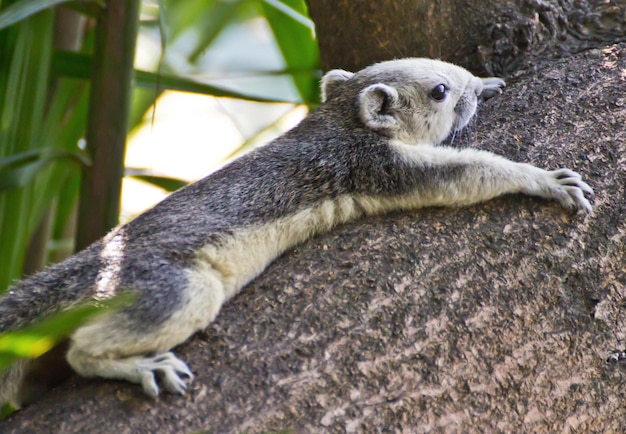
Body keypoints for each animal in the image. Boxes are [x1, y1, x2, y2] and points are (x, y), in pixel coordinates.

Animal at [0, 57, 588, 406]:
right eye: (440, 91)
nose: (472, 85)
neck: (340, 120)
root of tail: (85, 270)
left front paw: (489, 84)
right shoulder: (377, 165)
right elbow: (468, 172)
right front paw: (543, 180)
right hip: (172, 288)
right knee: (83, 351)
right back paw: (139, 367)